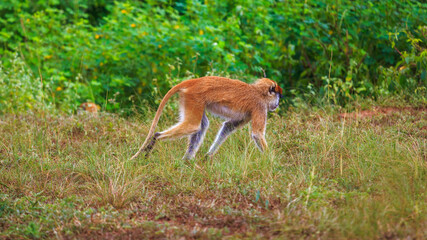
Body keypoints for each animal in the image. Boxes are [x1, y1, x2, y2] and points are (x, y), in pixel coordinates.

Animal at [130, 76, 284, 160]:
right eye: (278, 95)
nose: (277, 104)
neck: (259, 92)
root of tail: (195, 81)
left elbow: (228, 126)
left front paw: (208, 155)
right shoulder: (260, 107)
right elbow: (257, 134)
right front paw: (271, 162)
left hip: (191, 99)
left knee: (201, 125)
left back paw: (187, 160)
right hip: (194, 97)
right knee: (193, 126)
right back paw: (157, 137)